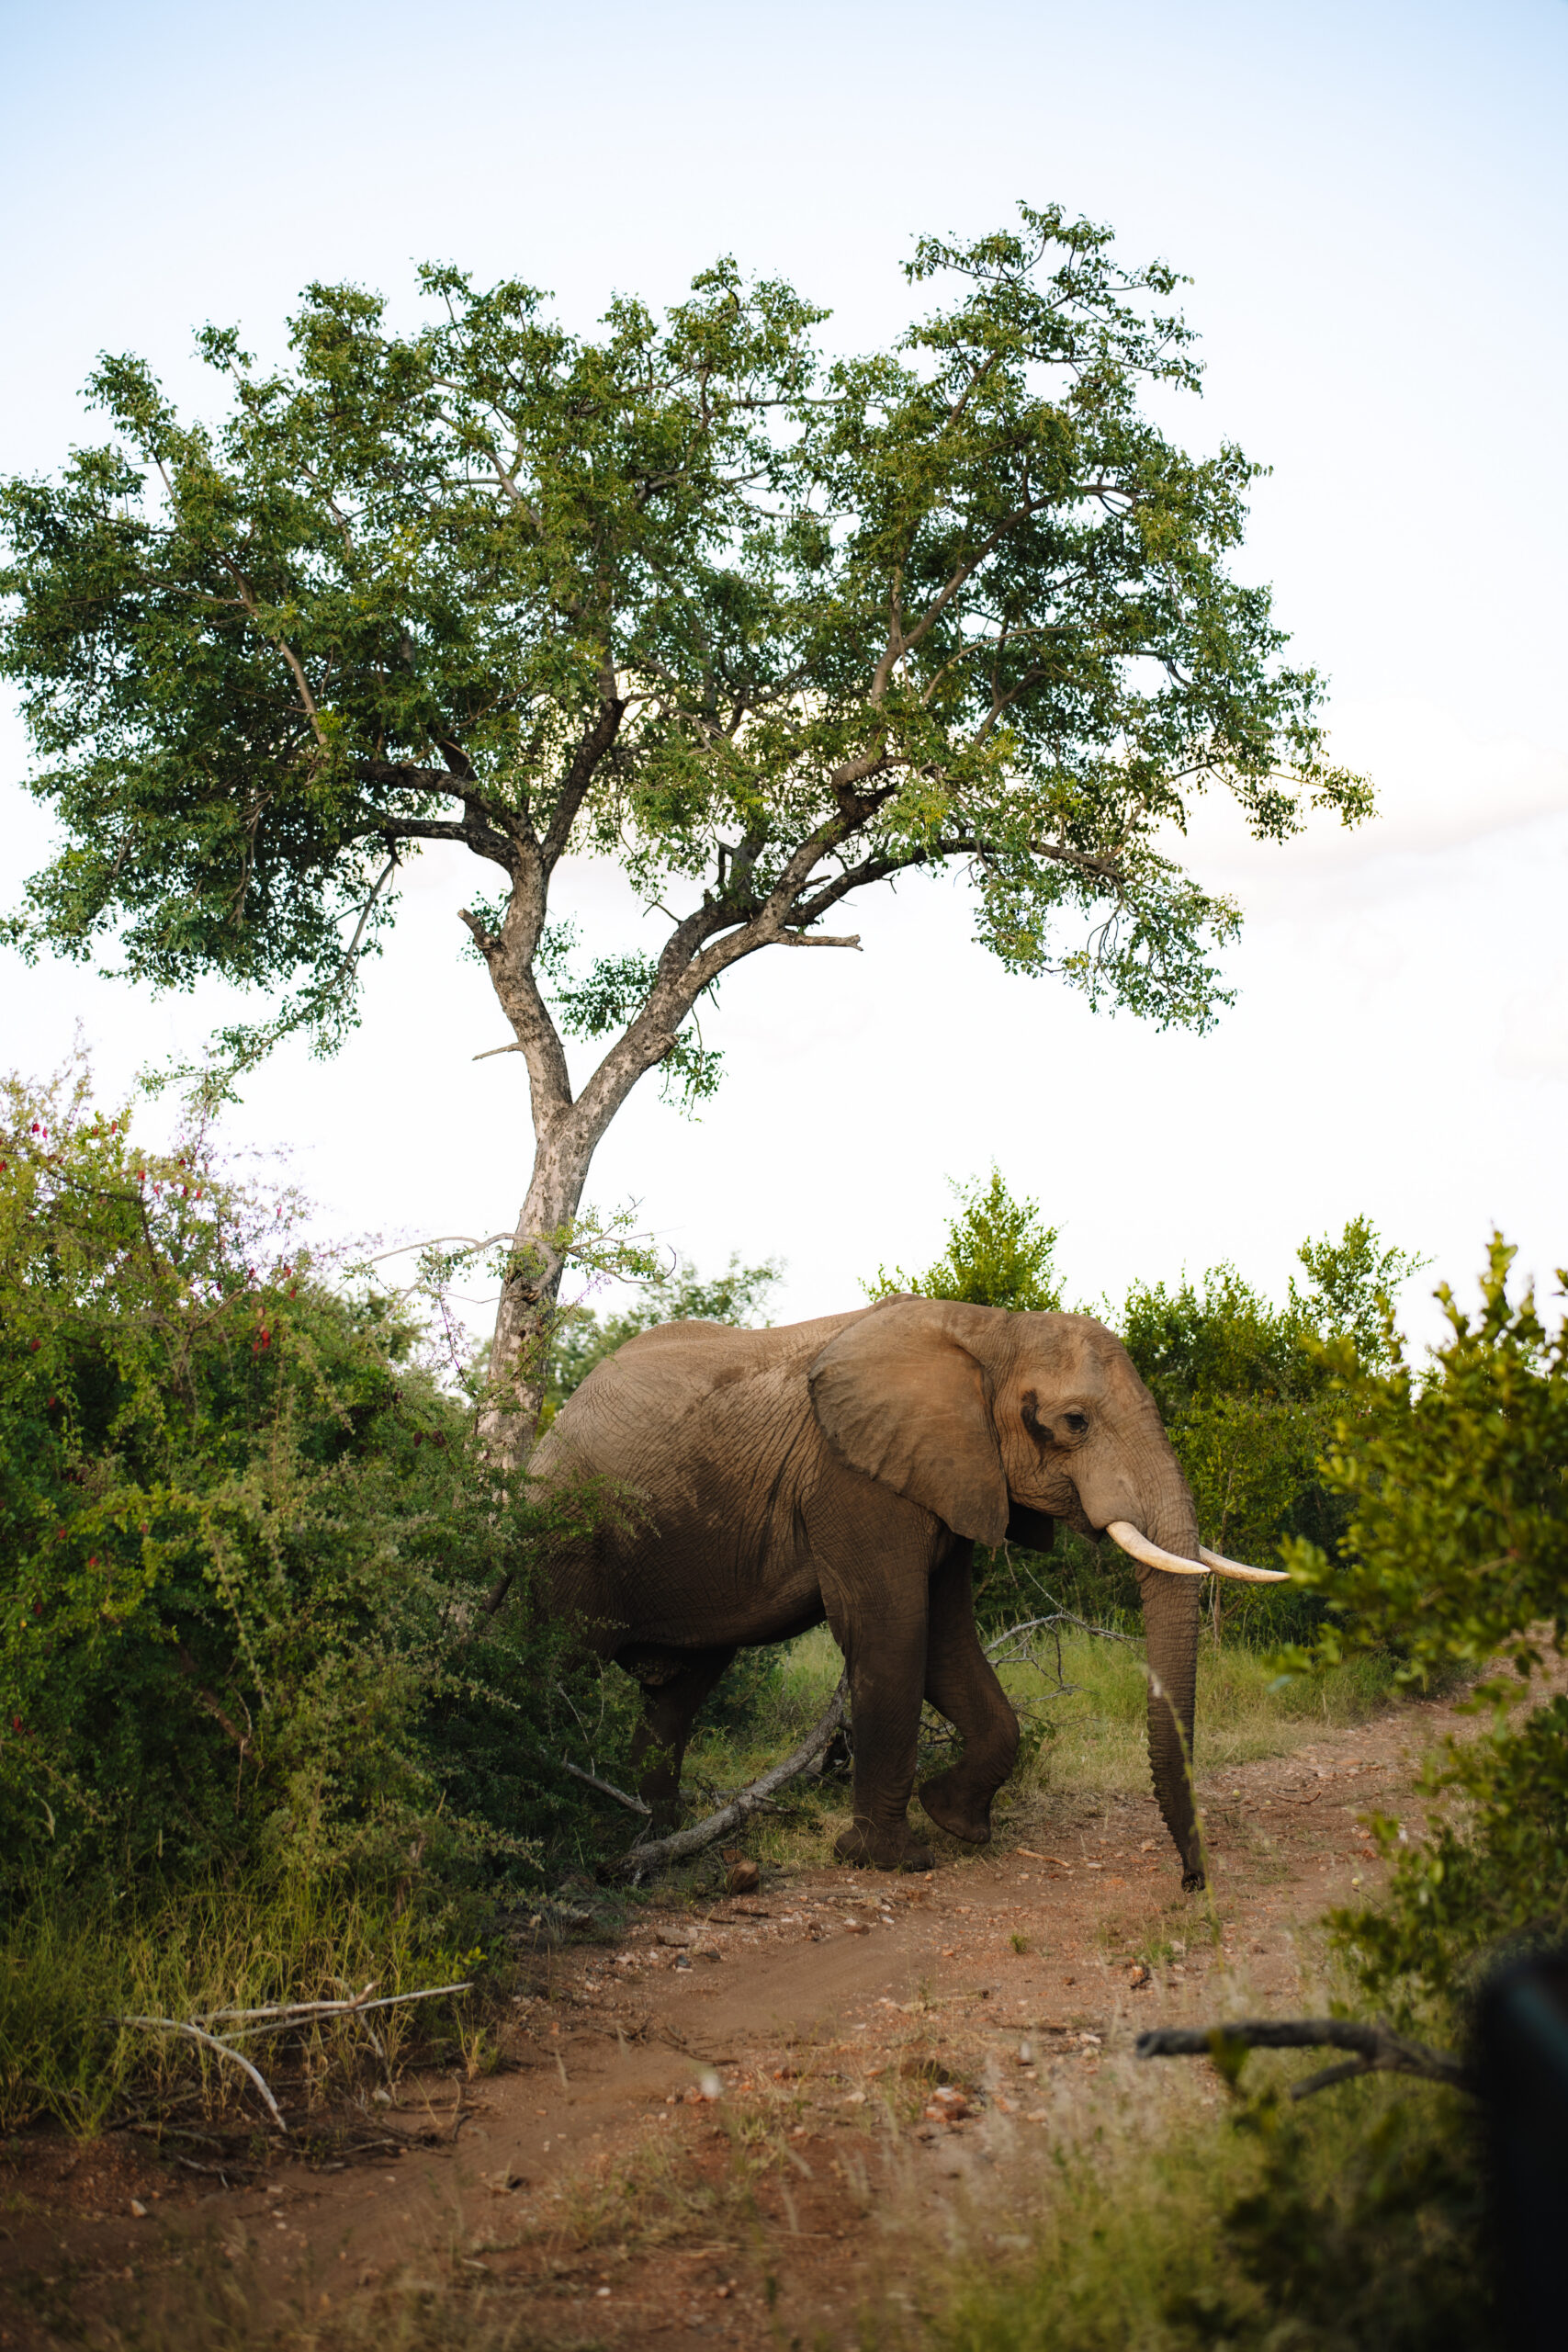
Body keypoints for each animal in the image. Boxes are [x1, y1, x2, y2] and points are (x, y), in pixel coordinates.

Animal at [530, 1294, 1281, 1883]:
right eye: (1074, 1422)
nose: (1190, 1882)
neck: (989, 1331)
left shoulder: (950, 1475)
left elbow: (947, 1640)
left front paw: (955, 1821)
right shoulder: (852, 1478)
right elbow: (892, 1630)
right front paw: (889, 1859)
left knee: (678, 1692)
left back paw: (651, 1840)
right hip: (566, 1537)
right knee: (553, 1666)